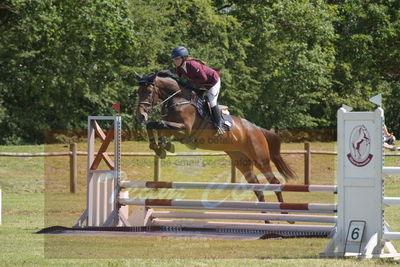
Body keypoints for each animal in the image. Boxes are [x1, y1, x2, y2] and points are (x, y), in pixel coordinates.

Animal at [136, 70, 296, 217]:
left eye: (149, 91)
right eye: (138, 91)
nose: (141, 115)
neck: (179, 98)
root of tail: (257, 129)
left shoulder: (185, 129)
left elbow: (159, 123)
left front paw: (163, 146)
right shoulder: (173, 128)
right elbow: (153, 124)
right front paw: (160, 147)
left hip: (260, 159)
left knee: (274, 182)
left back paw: (285, 214)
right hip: (241, 161)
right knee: (258, 187)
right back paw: (266, 217)